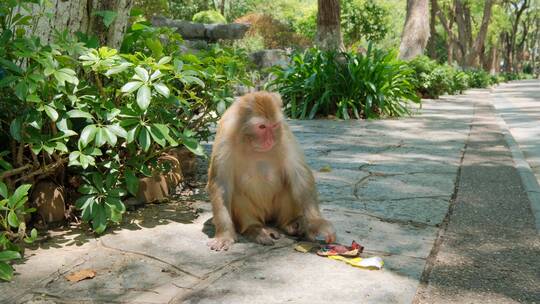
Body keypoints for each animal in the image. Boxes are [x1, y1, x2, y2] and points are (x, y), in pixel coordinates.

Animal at [206, 91, 336, 252]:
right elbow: (221, 184)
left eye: (273, 125)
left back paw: (291, 224)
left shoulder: (284, 132)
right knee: (237, 194)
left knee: (289, 184)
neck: (249, 141)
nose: (269, 141)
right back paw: (255, 229)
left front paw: (317, 225)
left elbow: (300, 175)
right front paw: (224, 235)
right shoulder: (225, 135)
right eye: (262, 127)